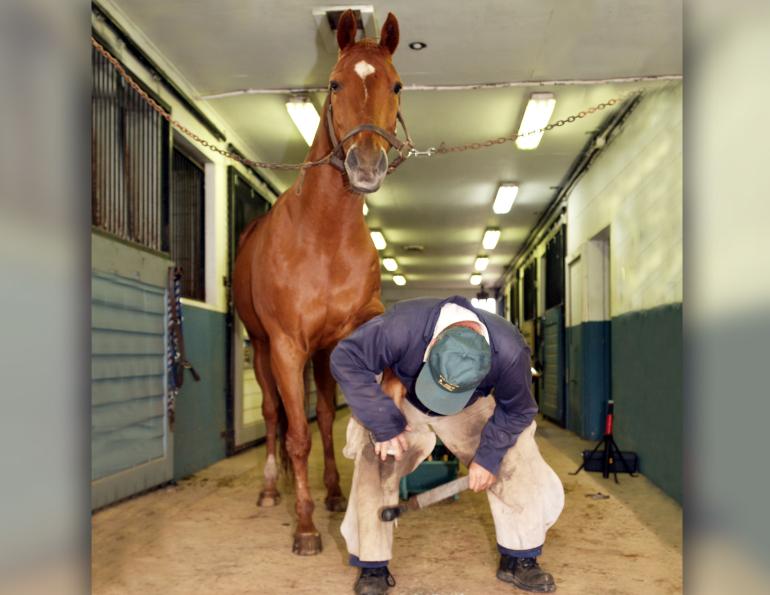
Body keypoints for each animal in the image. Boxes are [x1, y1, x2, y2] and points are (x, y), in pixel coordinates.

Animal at [232, 11, 402, 556]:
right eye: (334, 83)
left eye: (396, 85)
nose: (365, 166)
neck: (323, 233)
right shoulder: (287, 345)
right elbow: (297, 436)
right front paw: (305, 528)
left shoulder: (349, 334)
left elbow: (341, 412)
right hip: (264, 350)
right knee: (273, 416)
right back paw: (272, 490)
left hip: (323, 356)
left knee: (325, 417)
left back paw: (330, 492)